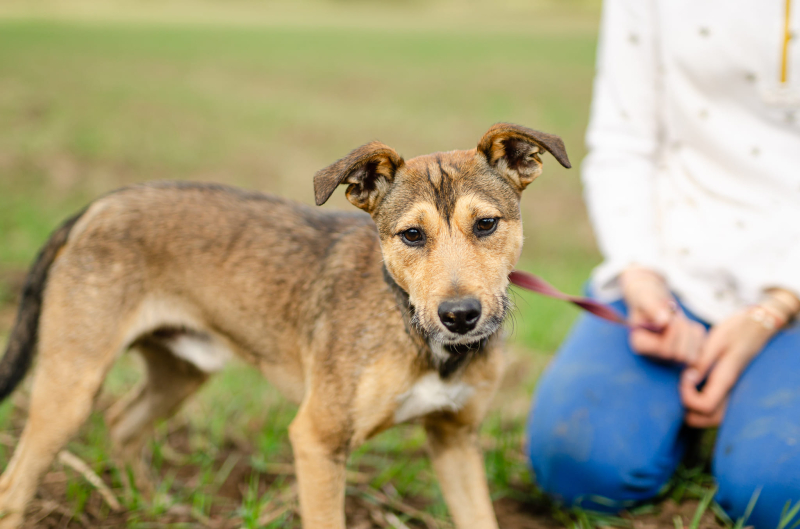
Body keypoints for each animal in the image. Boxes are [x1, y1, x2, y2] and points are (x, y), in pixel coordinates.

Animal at [0, 123, 570, 528]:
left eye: (487, 224)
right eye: (411, 235)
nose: (460, 315)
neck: (413, 331)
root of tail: (96, 206)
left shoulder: (456, 441)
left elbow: (480, 517)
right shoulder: (317, 440)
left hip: (181, 372)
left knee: (122, 423)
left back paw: (150, 506)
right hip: (70, 388)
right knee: (15, 487)